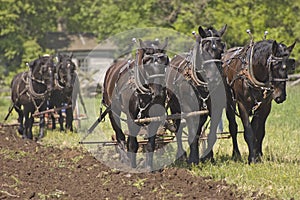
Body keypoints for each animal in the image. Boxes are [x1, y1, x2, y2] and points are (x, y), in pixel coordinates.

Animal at [102, 38, 169, 170]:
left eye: (165, 62)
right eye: (146, 63)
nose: (158, 93)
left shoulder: (154, 118)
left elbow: (150, 144)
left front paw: (149, 167)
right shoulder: (131, 118)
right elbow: (133, 144)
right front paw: (132, 167)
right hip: (113, 110)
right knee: (120, 136)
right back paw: (125, 159)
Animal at [165, 24, 226, 164]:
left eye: (221, 50)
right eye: (204, 51)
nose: (215, 78)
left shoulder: (216, 109)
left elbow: (211, 135)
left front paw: (208, 157)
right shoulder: (188, 108)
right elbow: (191, 134)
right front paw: (193, 160)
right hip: (175, 107)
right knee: (178, 130)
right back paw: (182, 156)